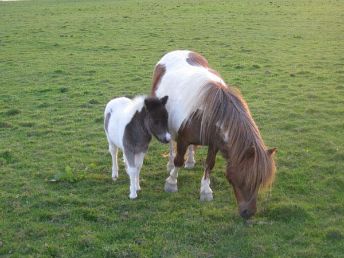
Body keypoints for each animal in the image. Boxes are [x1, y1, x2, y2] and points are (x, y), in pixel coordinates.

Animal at [150, 50, 276, 218]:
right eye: (245, 179)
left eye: (259, 181)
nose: (249, 213)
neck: (210, 111)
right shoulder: (183, 140)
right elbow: (178, 160)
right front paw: (171, 182)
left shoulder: (215, 143)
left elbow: (209, 164)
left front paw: (205, 191)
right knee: (171, 145)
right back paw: (170, 164)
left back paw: (190, 161)